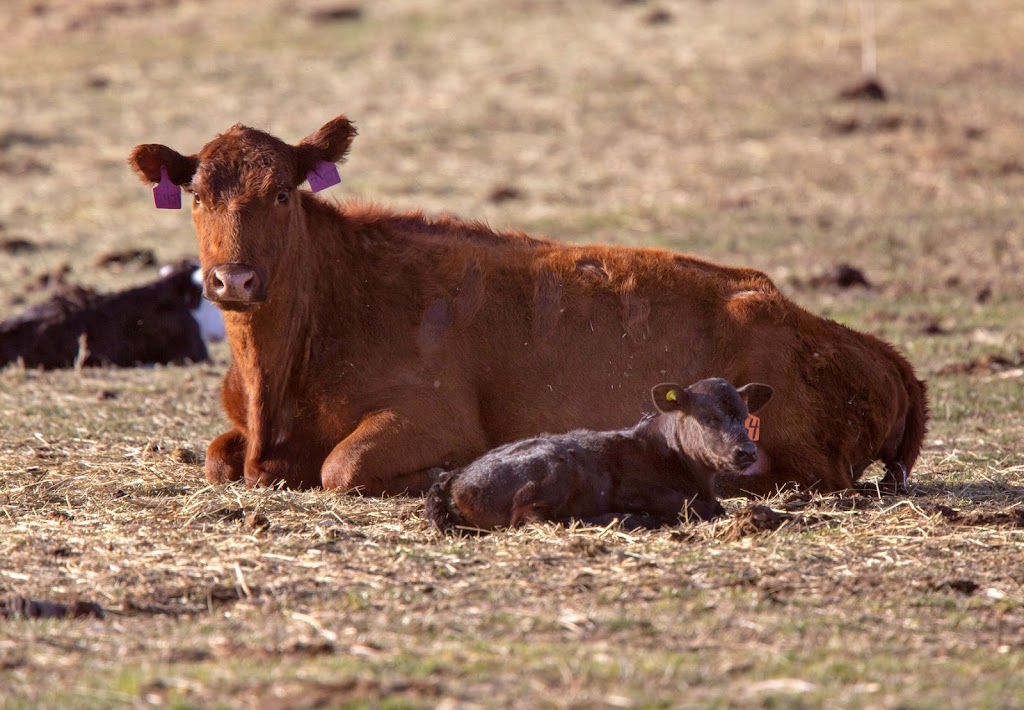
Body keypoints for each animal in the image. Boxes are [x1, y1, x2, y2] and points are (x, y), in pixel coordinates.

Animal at [125, 113, 929, 495]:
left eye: (283, 194)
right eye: (197, 195)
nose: (233, 281)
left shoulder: (431, 415)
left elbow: (339, 468)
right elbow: (217, 457)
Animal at [421, 379, 770, 528]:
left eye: (744, 416)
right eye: (709, 417)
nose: (747, 452)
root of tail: (456, 477)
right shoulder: (639, 491)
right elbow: (701, 509)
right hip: (552, 470)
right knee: (530, 517)